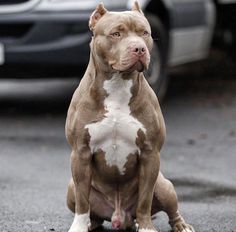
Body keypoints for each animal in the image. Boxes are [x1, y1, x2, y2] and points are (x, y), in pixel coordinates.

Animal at [65, 2, 195, 232]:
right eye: (116, 34)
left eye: (144, 33)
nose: (139, 49)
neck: (118, 84)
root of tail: (120, 217)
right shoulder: (80, 152)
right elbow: (82, 200)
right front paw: (79, 226)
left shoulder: (151, 154)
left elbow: (145, 199)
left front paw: (146, 227)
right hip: (71, 187)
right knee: (92, 211)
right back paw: (90, 223)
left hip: (164, 185)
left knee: (170, 209)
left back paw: (180, 225)